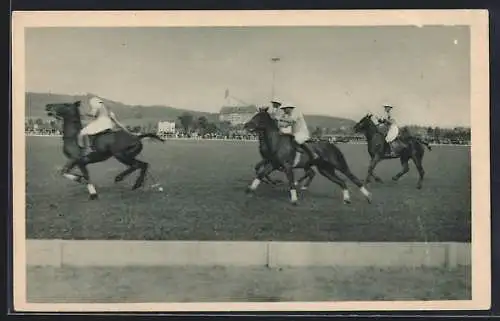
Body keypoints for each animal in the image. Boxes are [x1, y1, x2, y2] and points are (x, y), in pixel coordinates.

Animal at [242, 106, 372, 204]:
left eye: (259, 117)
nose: (246, 125)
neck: (276, 142)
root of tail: (332, 144)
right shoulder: (273, 163)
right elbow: (260, 174)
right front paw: (250, 189)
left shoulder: (287, 166)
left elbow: (290, 182)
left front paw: (294, 200)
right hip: (325, 170)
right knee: (341, 182)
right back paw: (346, 199)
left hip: (339, 164)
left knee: (352, 177)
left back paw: (368, 196)